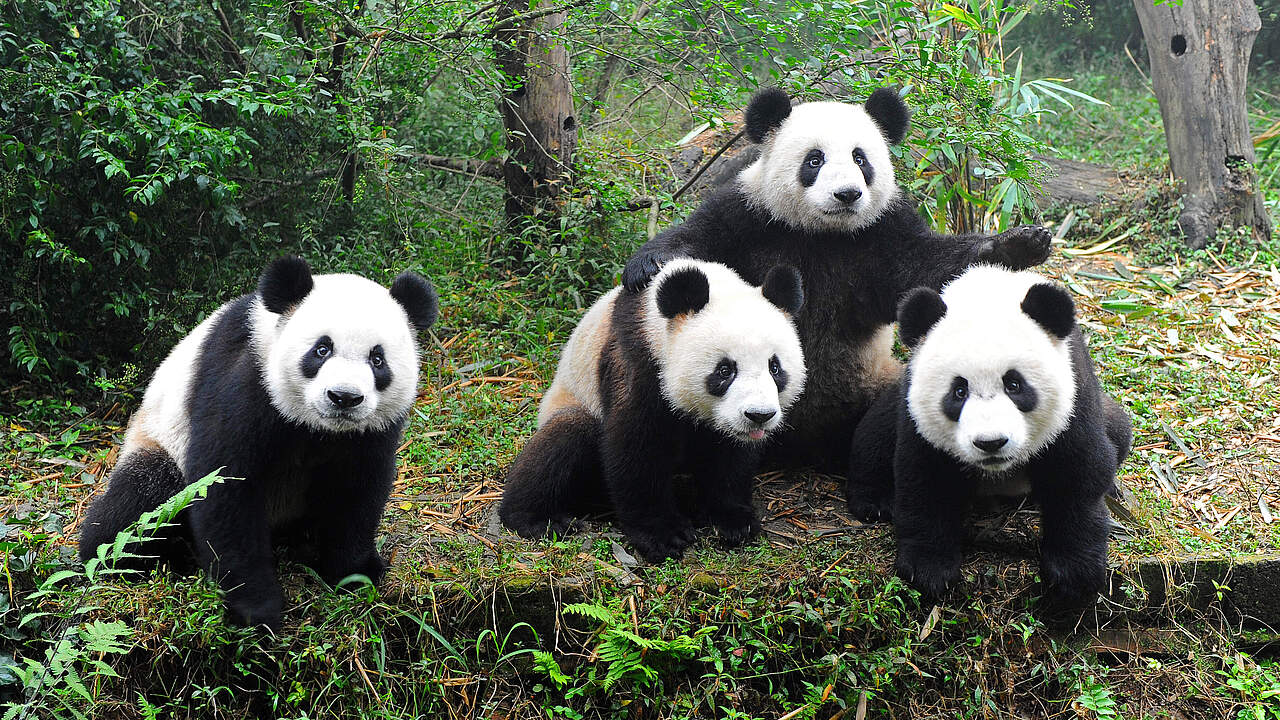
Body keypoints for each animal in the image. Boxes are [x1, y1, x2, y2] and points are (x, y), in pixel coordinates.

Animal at [79, 256, 439, 630]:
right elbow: (225, 487)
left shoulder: (371, 431)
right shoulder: (246, 381)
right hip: (159, 439)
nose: (344, 397)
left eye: (377, 359)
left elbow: (356, 492)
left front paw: (355, 574)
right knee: (142, 501)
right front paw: (256, 608)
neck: (318, 427)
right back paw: (140, 556)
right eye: (322, 349)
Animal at [500, 259, 806, 562]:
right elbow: (636, 448)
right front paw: (664, 536)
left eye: (775, 367)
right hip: (573, 402)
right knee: (566, 437)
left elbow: (729, 456)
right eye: (724, 370)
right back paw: (535, 518)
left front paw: (734, 521)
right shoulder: (637, 359)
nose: (759, 415)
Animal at [622, 87, 1052, 470]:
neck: (823, 233)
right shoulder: (750, 217)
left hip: (874, 381)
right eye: (815, 160)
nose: (847, 194)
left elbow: (927, 267)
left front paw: (1020, 244)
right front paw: (646, 266)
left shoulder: (882, 233)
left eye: (861, 159)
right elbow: (699, 239)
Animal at [846, 265, 1132, 604]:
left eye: (1014, 384)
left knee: (1119, 431)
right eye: (959, 391)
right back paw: (874, 501)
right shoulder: (917, 415)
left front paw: (1074, 574)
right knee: (875, 434)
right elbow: (925, 480)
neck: (989, 294)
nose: (991, 443)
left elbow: (1078, 474)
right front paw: (929, 569)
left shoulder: (1075, 395)